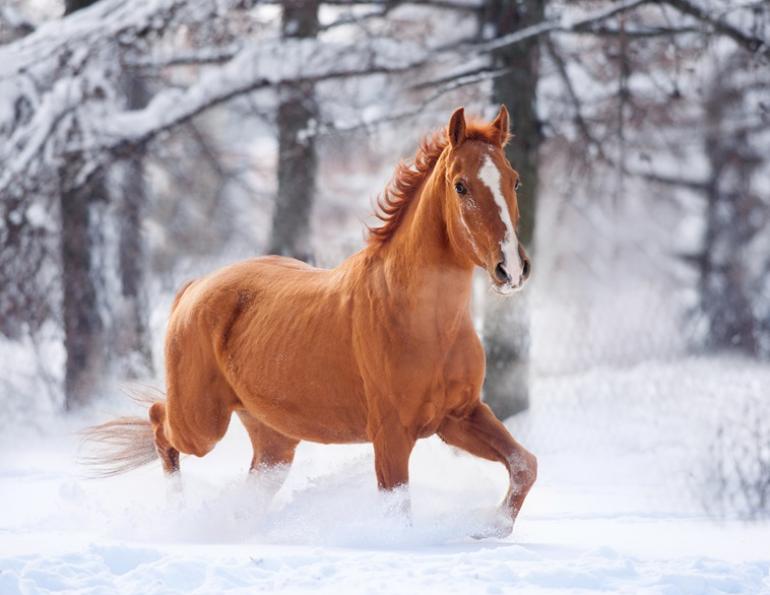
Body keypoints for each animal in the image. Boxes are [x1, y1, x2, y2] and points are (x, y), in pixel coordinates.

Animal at [84, 105, 537, 536]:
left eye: (514, 181)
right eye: (461, 185)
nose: (511, 270)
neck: (425, 323)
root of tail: (193, 288)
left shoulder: (459, 416)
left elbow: (524, 465)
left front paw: (490, 529)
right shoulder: (392, 434)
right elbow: (398, 509)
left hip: (273, 440)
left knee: (248, 482)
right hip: (201, 424)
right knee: (159, 423)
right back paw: (177, 513)